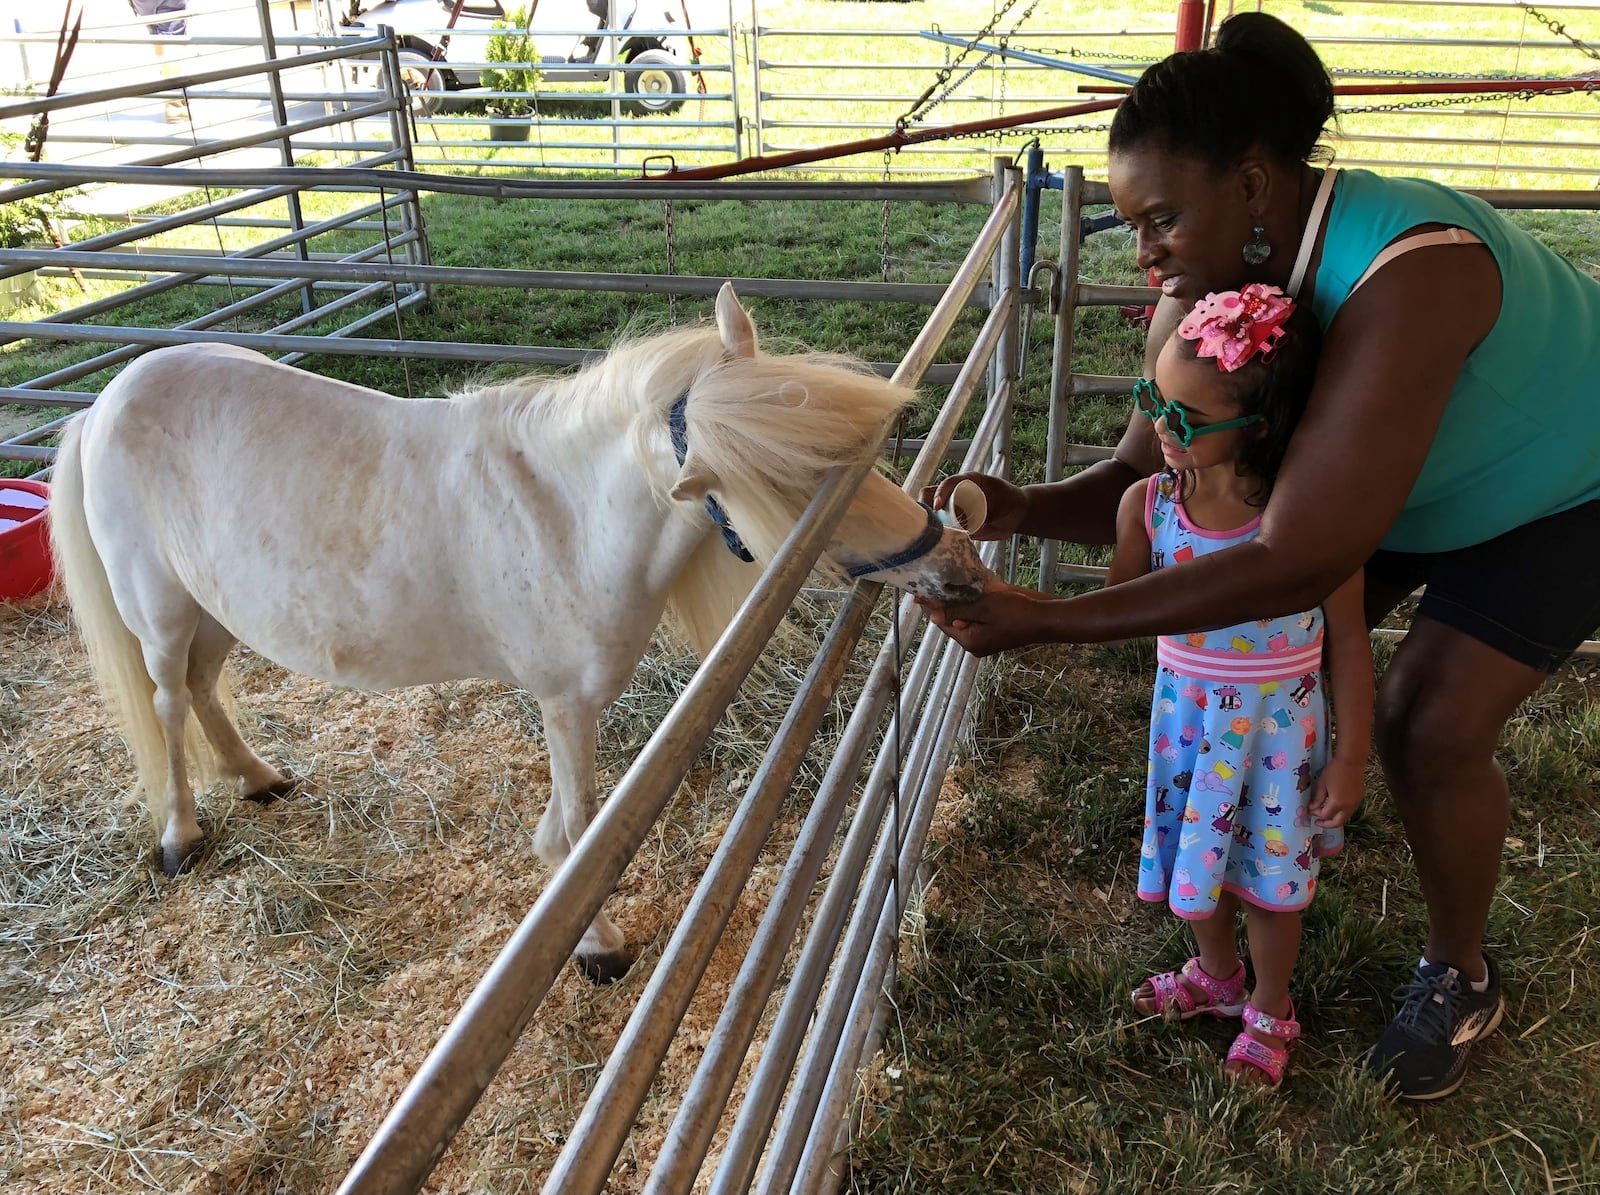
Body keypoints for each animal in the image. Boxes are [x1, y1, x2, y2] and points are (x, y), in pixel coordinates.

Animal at [50, 283, 985, 979]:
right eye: (793, 484)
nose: (958, 569)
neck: (569, 513)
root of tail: (106, 399)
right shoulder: (565, 706)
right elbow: (576, 838)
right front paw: (599, 948)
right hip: (160, 611)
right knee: (169, 704)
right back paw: (181, 837)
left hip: (217, 610)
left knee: (205, 689)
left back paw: (258, 777)